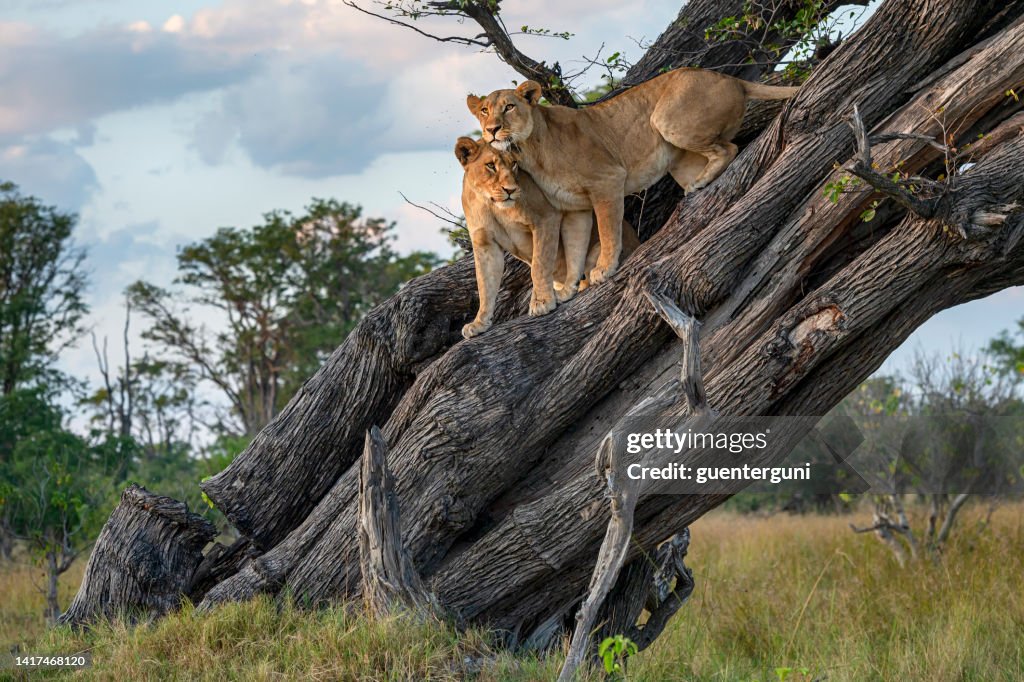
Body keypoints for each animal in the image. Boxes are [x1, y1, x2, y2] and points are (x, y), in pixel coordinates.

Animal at [455, 136, 639, 339]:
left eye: (513, 164)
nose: (511, 190)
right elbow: (484, 285)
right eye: (490, 165)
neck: (490, 204)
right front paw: (479, 323)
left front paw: (542, 302)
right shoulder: (485, 244)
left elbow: (539, 265)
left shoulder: (546, 218)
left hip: (596, 250)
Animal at [467, 68, 799, 285]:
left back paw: (700, 183)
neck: (528, 149)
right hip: (679, 158)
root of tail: (731, 78)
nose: (491, 129)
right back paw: (699, 184)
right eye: (484, 111)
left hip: (666, 119)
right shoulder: (573, 206)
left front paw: (604, 269)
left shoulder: (607, 180)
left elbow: (608, 231)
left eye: (509, 107)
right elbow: (575, 247)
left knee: (728, 148)